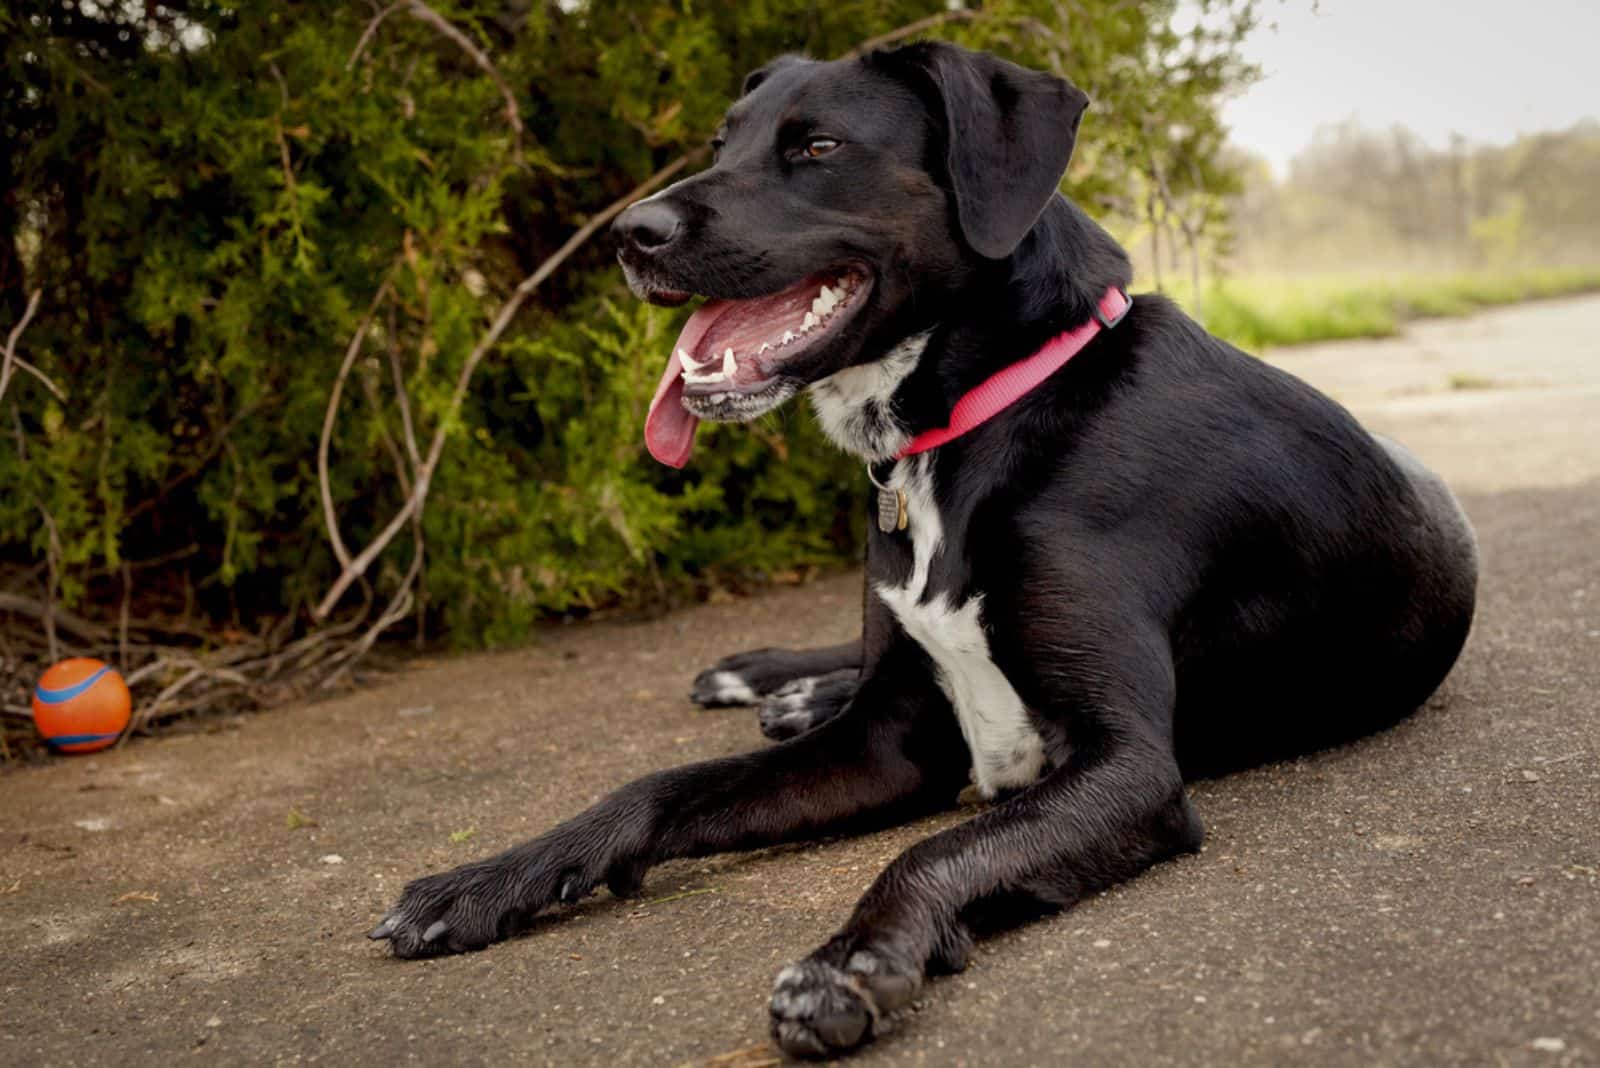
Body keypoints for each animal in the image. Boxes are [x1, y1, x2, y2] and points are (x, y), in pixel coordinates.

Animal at [371, 43, 1472, 1061]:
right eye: (721, 145)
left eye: (816, 148)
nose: (629, 235)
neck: (986, 414)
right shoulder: (886, 739)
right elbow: (661, 787)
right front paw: (487, 880)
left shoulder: (1130, 770)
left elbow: (936, 851)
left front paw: (849, 964)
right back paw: (770, 678)